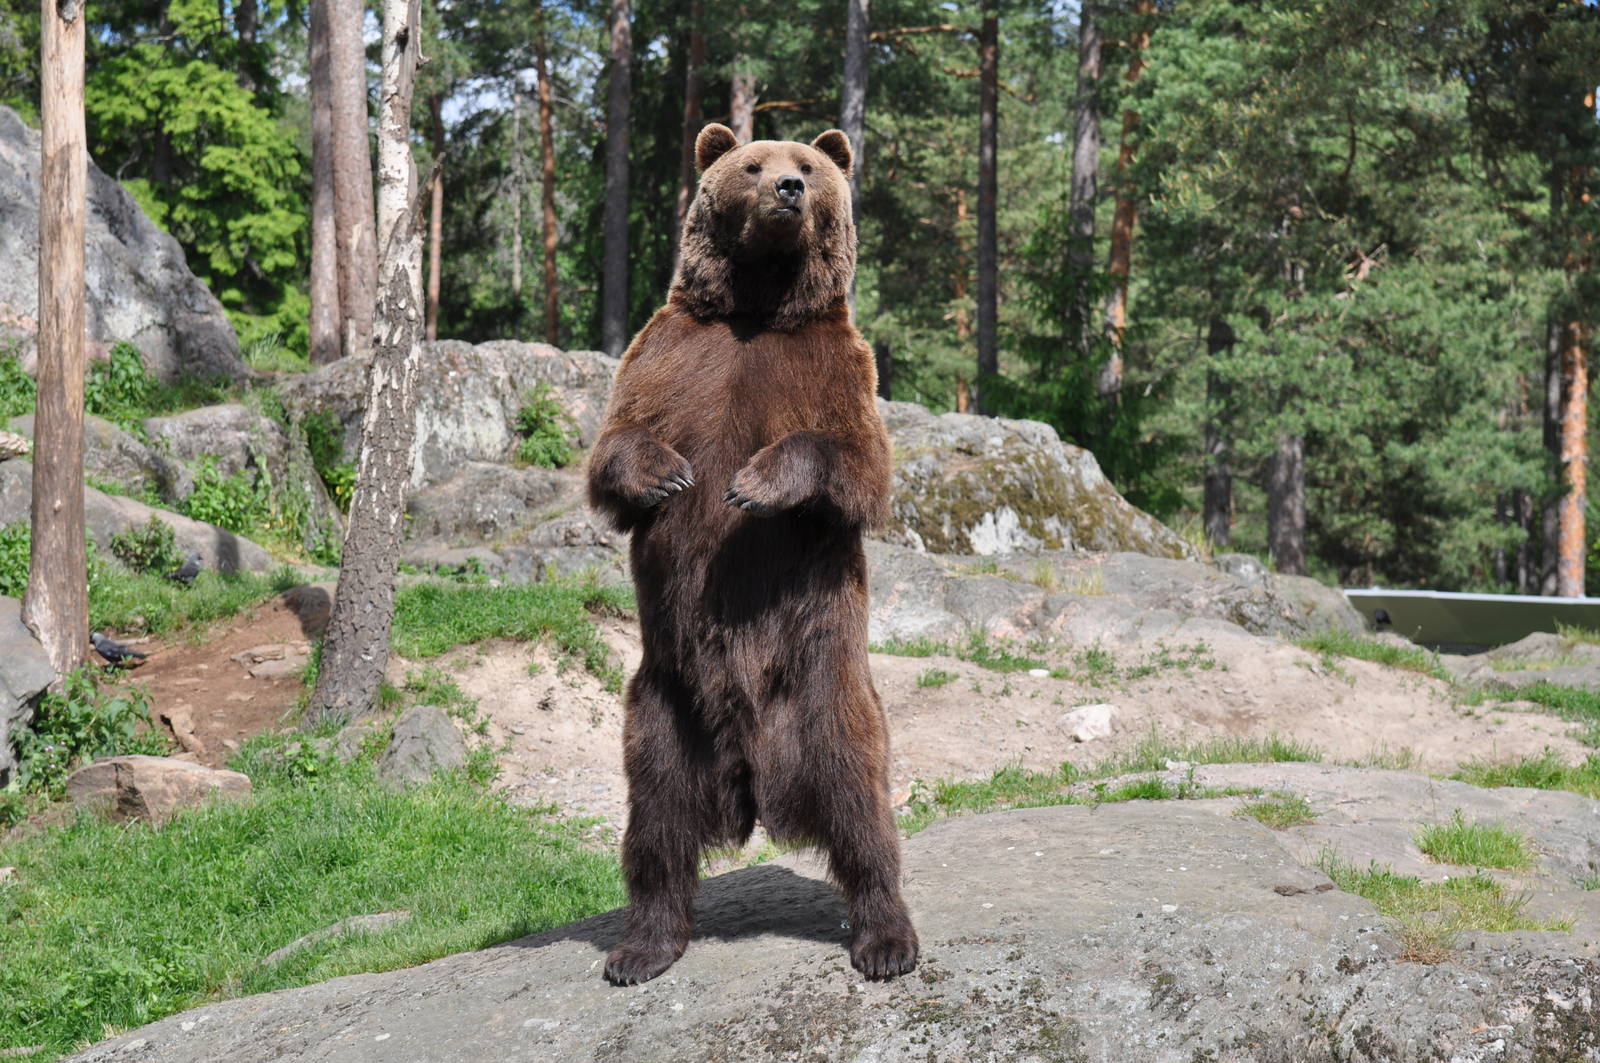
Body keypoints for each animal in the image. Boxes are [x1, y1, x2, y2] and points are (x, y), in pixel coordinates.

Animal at [586, 122, 919, 986]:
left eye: (808, 165)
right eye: (752, 164)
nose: (789, 190)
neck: (760, 304)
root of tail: (755, 784)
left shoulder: (835, 367)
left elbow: (857, 464)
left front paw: (752, 484)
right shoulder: (670, 354)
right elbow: (615, 447)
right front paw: (669, 473)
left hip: (822, 680)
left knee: (860, 800)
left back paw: (887, 938)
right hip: (665, 705)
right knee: (657, 824)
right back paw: (641, 946)